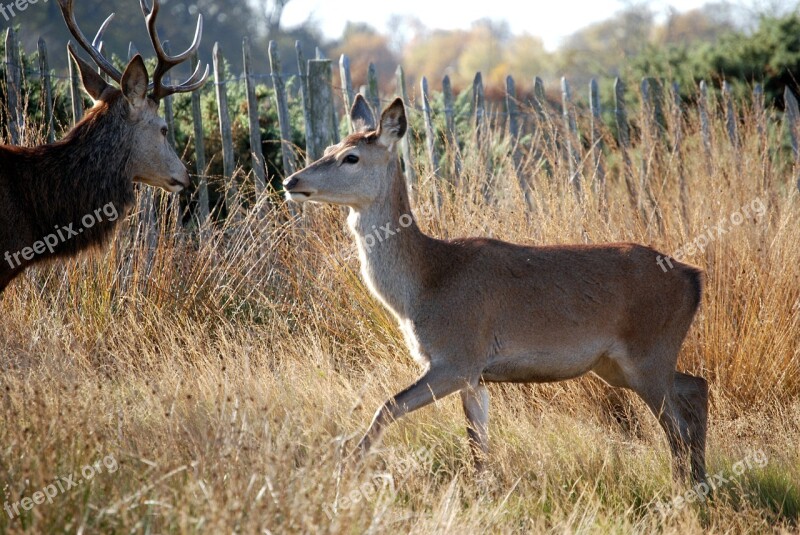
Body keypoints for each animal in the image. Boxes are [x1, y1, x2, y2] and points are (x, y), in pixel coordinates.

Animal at [284, 95, 708, 486]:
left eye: (351, 157)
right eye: (328, 149)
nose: (292, 181)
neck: (424, 285)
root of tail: (694, 278)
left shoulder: (457, 357)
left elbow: (387, 407)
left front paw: (343, 473)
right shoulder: (475, 376)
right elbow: (477, 447)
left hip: (648, 351)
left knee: (676, 427)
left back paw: (684, 488)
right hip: (618, 365)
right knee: (696, 388)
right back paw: (700, 481)